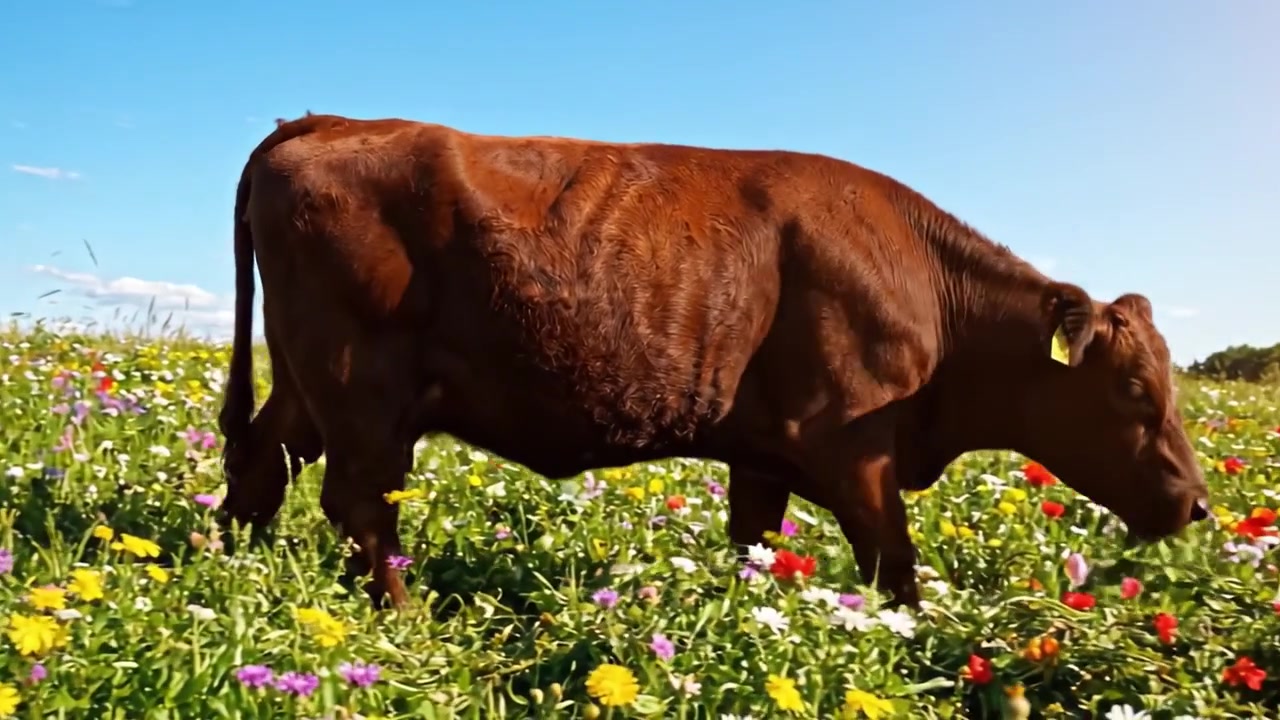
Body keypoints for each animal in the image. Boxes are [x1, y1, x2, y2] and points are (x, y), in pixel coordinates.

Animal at [216, 112, 1210, 610]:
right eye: (1133, 389)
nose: (1197, 504)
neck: (927, 282)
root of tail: (325, 120)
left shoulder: (763, 455)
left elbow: (756, 548)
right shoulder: (854, 449)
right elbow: (895, 567)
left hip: (309, 385)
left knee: (260, 464)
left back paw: (230, 579)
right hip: (362, 387)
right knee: (359, 503)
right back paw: (403, 616)